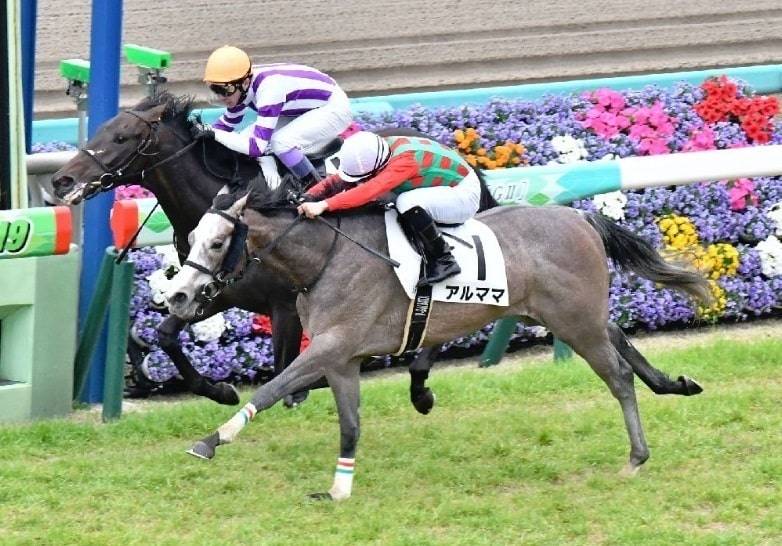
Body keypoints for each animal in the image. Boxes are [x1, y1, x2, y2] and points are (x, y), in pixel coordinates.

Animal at [44, 92, 494, 410]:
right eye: (101, 128)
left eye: (122, 137)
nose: (63, 180)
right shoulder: (216, 289)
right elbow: (166, 333)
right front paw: (219, 389)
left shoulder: (285, 306)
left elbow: (290, 372)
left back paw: (420, 384)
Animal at [166, 188, 711, 500]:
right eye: (190, 238)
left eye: (217, 243)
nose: (178, 295)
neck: (326, 259)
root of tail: (580, 219)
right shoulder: (342, 357)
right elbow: (350, 425)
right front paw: (339, 489)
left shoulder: (330, 346)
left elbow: (271, 389)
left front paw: (210, 440)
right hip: (567, 316)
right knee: (618, 338)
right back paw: (677, 384)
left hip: (576, 322)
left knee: (618, 377)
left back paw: (637, 456)